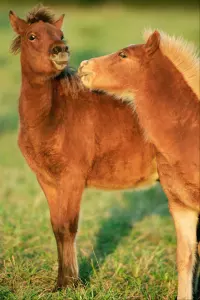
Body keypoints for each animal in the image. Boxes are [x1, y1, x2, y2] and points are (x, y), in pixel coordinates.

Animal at [8, 5, 158, 290]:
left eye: (60, 34)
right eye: (32, 36)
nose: (60, 50)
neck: (54, 117)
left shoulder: (73, 179)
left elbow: (69, 227)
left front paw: (72, 283)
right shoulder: (48, 181)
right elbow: (57, 228)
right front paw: (61, 282)